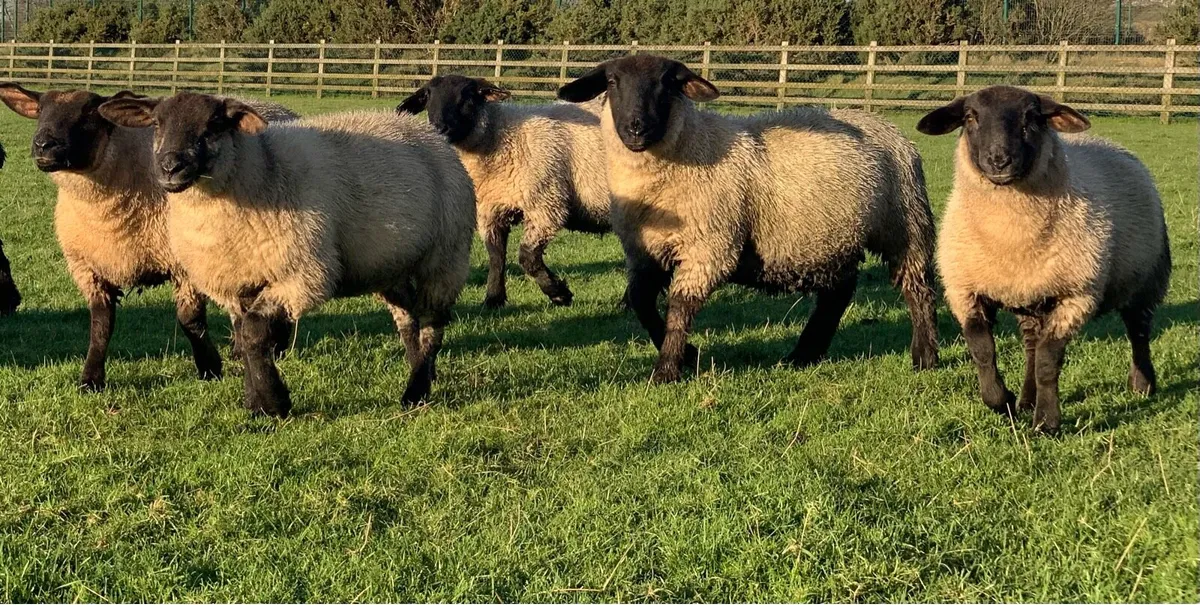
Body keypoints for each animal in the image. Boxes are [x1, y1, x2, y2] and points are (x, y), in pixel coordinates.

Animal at [0, 83, 298, 390]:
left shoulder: (181, 264)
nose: (43, 145)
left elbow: (190, 321)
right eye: (40, 111)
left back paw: (275, 347)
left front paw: (209, 368)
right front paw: (91, 379)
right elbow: (100, 325)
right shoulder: (89, 269)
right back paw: (241, 349)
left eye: (89, 113)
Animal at [99, 92, 476, 417]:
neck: (261, 170)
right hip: (391, 265)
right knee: (409, 319)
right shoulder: (237, 283)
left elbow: (254, 335)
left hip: (446, 258)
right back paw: (420, 372)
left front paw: (273, 403)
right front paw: (255, 401)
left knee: (432, 326)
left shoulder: (300, 275)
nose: (169, 167)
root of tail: (425, 132)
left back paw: (415, 391)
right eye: (157, 124)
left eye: (214, 125)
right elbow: (245, 338)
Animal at [397, 75, 610, 308]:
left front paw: (558, 293)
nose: (439, 129)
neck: (504, 136)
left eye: (468, 96)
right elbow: (496, 256)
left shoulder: (546, 204)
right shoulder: (491, 210)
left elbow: (527, 258)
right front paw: (493, 299)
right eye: (427, 97)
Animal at [557, 55, 940, 383]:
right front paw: (689, 355)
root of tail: (889, 128)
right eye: (612, 81)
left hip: (904, 224)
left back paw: (925, 357)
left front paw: (667, 369)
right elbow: (640, 303)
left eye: (667, 83)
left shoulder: (709, 247)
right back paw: (804, 354)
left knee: (918, 289)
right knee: (838, 295)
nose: (636, 128)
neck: (692, 147)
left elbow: (679, 307)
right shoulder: (644, 252)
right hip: (830, 237)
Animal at [917, 85, 1171, 434]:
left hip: (1146, 277)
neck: (1009, 239)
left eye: (1032, 118)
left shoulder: (1076, 296)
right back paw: (1026, 399)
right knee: (1031, 348)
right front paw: (1003, 401)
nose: (999, 160)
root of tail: (1112, 145)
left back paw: (1142, 385)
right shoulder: (964, 290)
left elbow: (1049, 362)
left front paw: (1046, 423)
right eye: (970, 117)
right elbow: (983, 352)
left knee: (1139, 331)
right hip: (1032, 296)